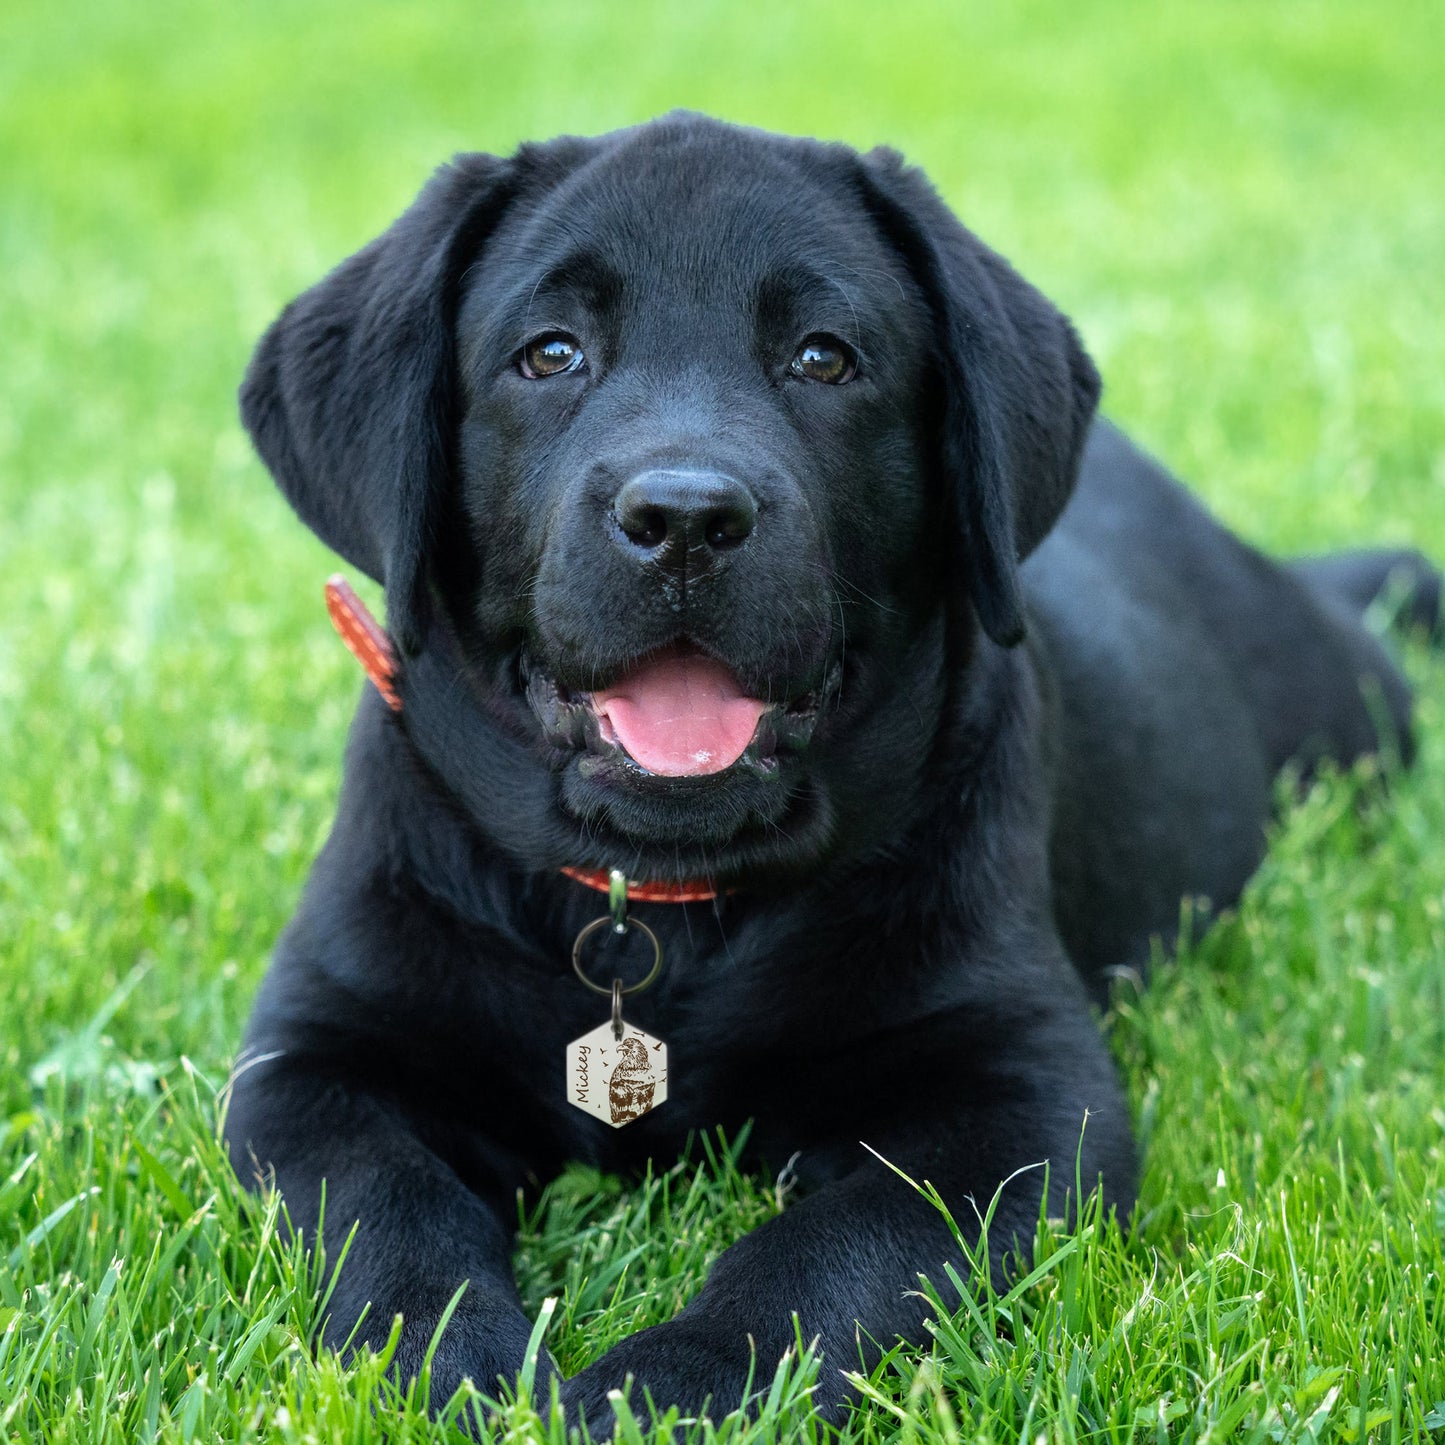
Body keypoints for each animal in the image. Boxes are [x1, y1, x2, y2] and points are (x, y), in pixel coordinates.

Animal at [225, 112, 1433, 1421]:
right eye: (548, 355)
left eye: (822, 357)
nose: (685, 518)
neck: (656, 921)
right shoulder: (316, 1059)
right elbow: (386, 1205)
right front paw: (463, 1365)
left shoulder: (1022, 1088)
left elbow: (832, 1247)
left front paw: (668, 1386)